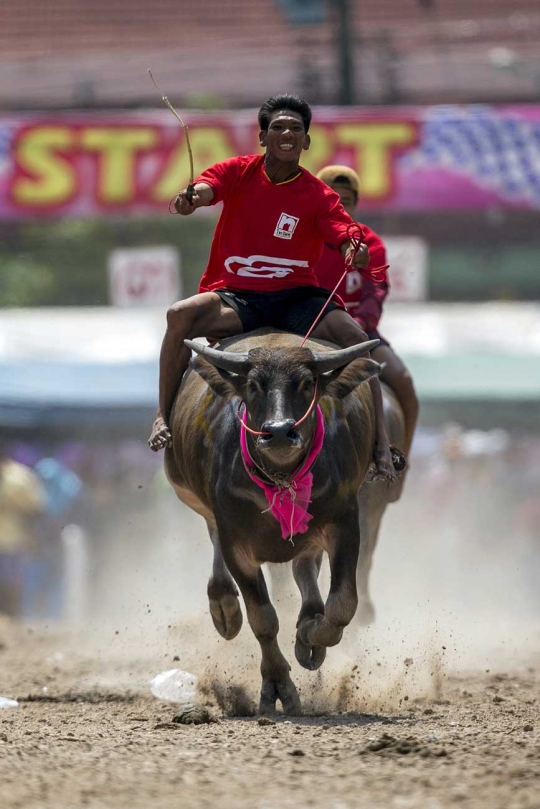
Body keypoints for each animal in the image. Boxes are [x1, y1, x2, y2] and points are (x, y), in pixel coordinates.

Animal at [166, 328, 400, 712]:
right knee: (217, 545)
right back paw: (224, 606)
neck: (281, 478)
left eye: (307, 383)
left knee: (305, 568)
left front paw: (309, 635)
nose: (277, 431)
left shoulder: (346, 525)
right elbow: (263, 619)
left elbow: (342, 607)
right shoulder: (235, 542)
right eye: (253, 385)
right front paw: (277, 686)